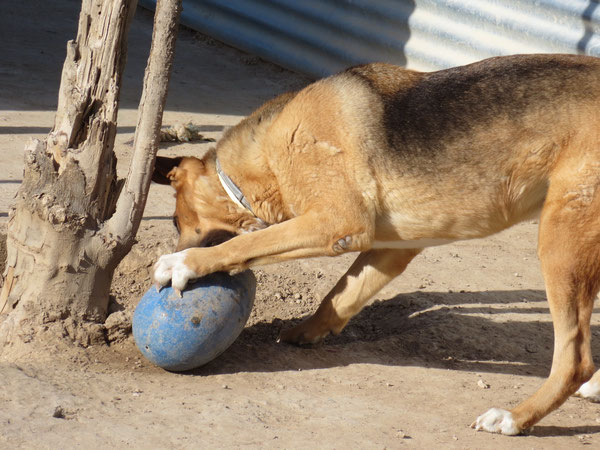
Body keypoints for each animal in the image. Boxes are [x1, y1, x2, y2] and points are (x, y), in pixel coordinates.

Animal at [151, 53, 600, 436]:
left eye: (174, 220)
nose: (177, 239)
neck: (261, 162)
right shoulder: (391, 248)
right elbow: (341, 294)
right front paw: (304, 332)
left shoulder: (335, 222)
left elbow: (247, 244)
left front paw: (184, 262)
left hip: (560, 242)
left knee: (575, 359)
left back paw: (515, 417)